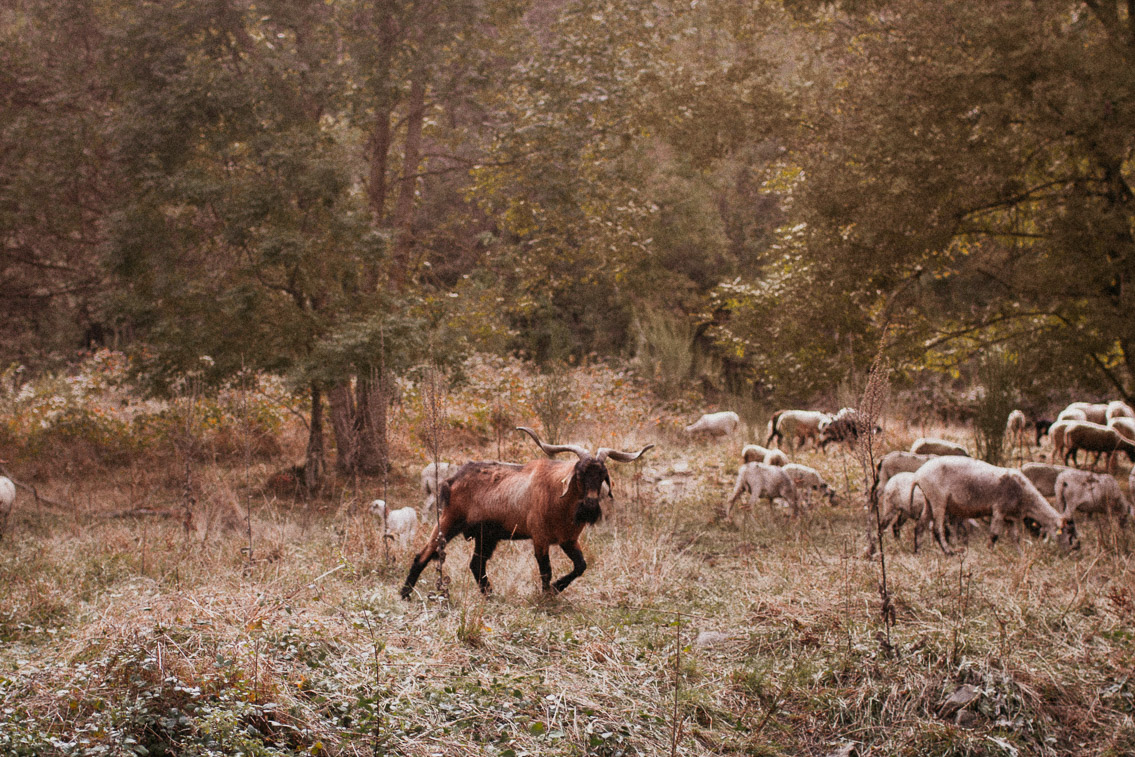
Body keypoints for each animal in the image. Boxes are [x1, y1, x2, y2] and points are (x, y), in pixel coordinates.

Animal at [399, 426, 653, 599]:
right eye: (580, 474)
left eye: (602, 475)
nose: (590, 506)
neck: (557, 497)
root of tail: (452, 480)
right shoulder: (539, 539)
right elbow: (546, 571)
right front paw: (547, 595)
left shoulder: (568, 540)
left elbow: (580, 566)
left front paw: (556, 589)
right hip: (449, 522)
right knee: (423, 554)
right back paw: (405, 593)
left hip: (485, 536)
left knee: (476, 564)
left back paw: (489, 594)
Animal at [908, 453, 1075, 553]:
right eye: (1068, 534)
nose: (1073, 551)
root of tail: (918, 475)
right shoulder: (998, 510)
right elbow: (994, 535)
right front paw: (990, 551)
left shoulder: (1010, 517)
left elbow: (1015, 537)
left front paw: (1020, 554)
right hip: (938, 500)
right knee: (937, 529)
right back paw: (948, 552)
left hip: (928, 500)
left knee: (919, 526)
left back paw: (918, 550)